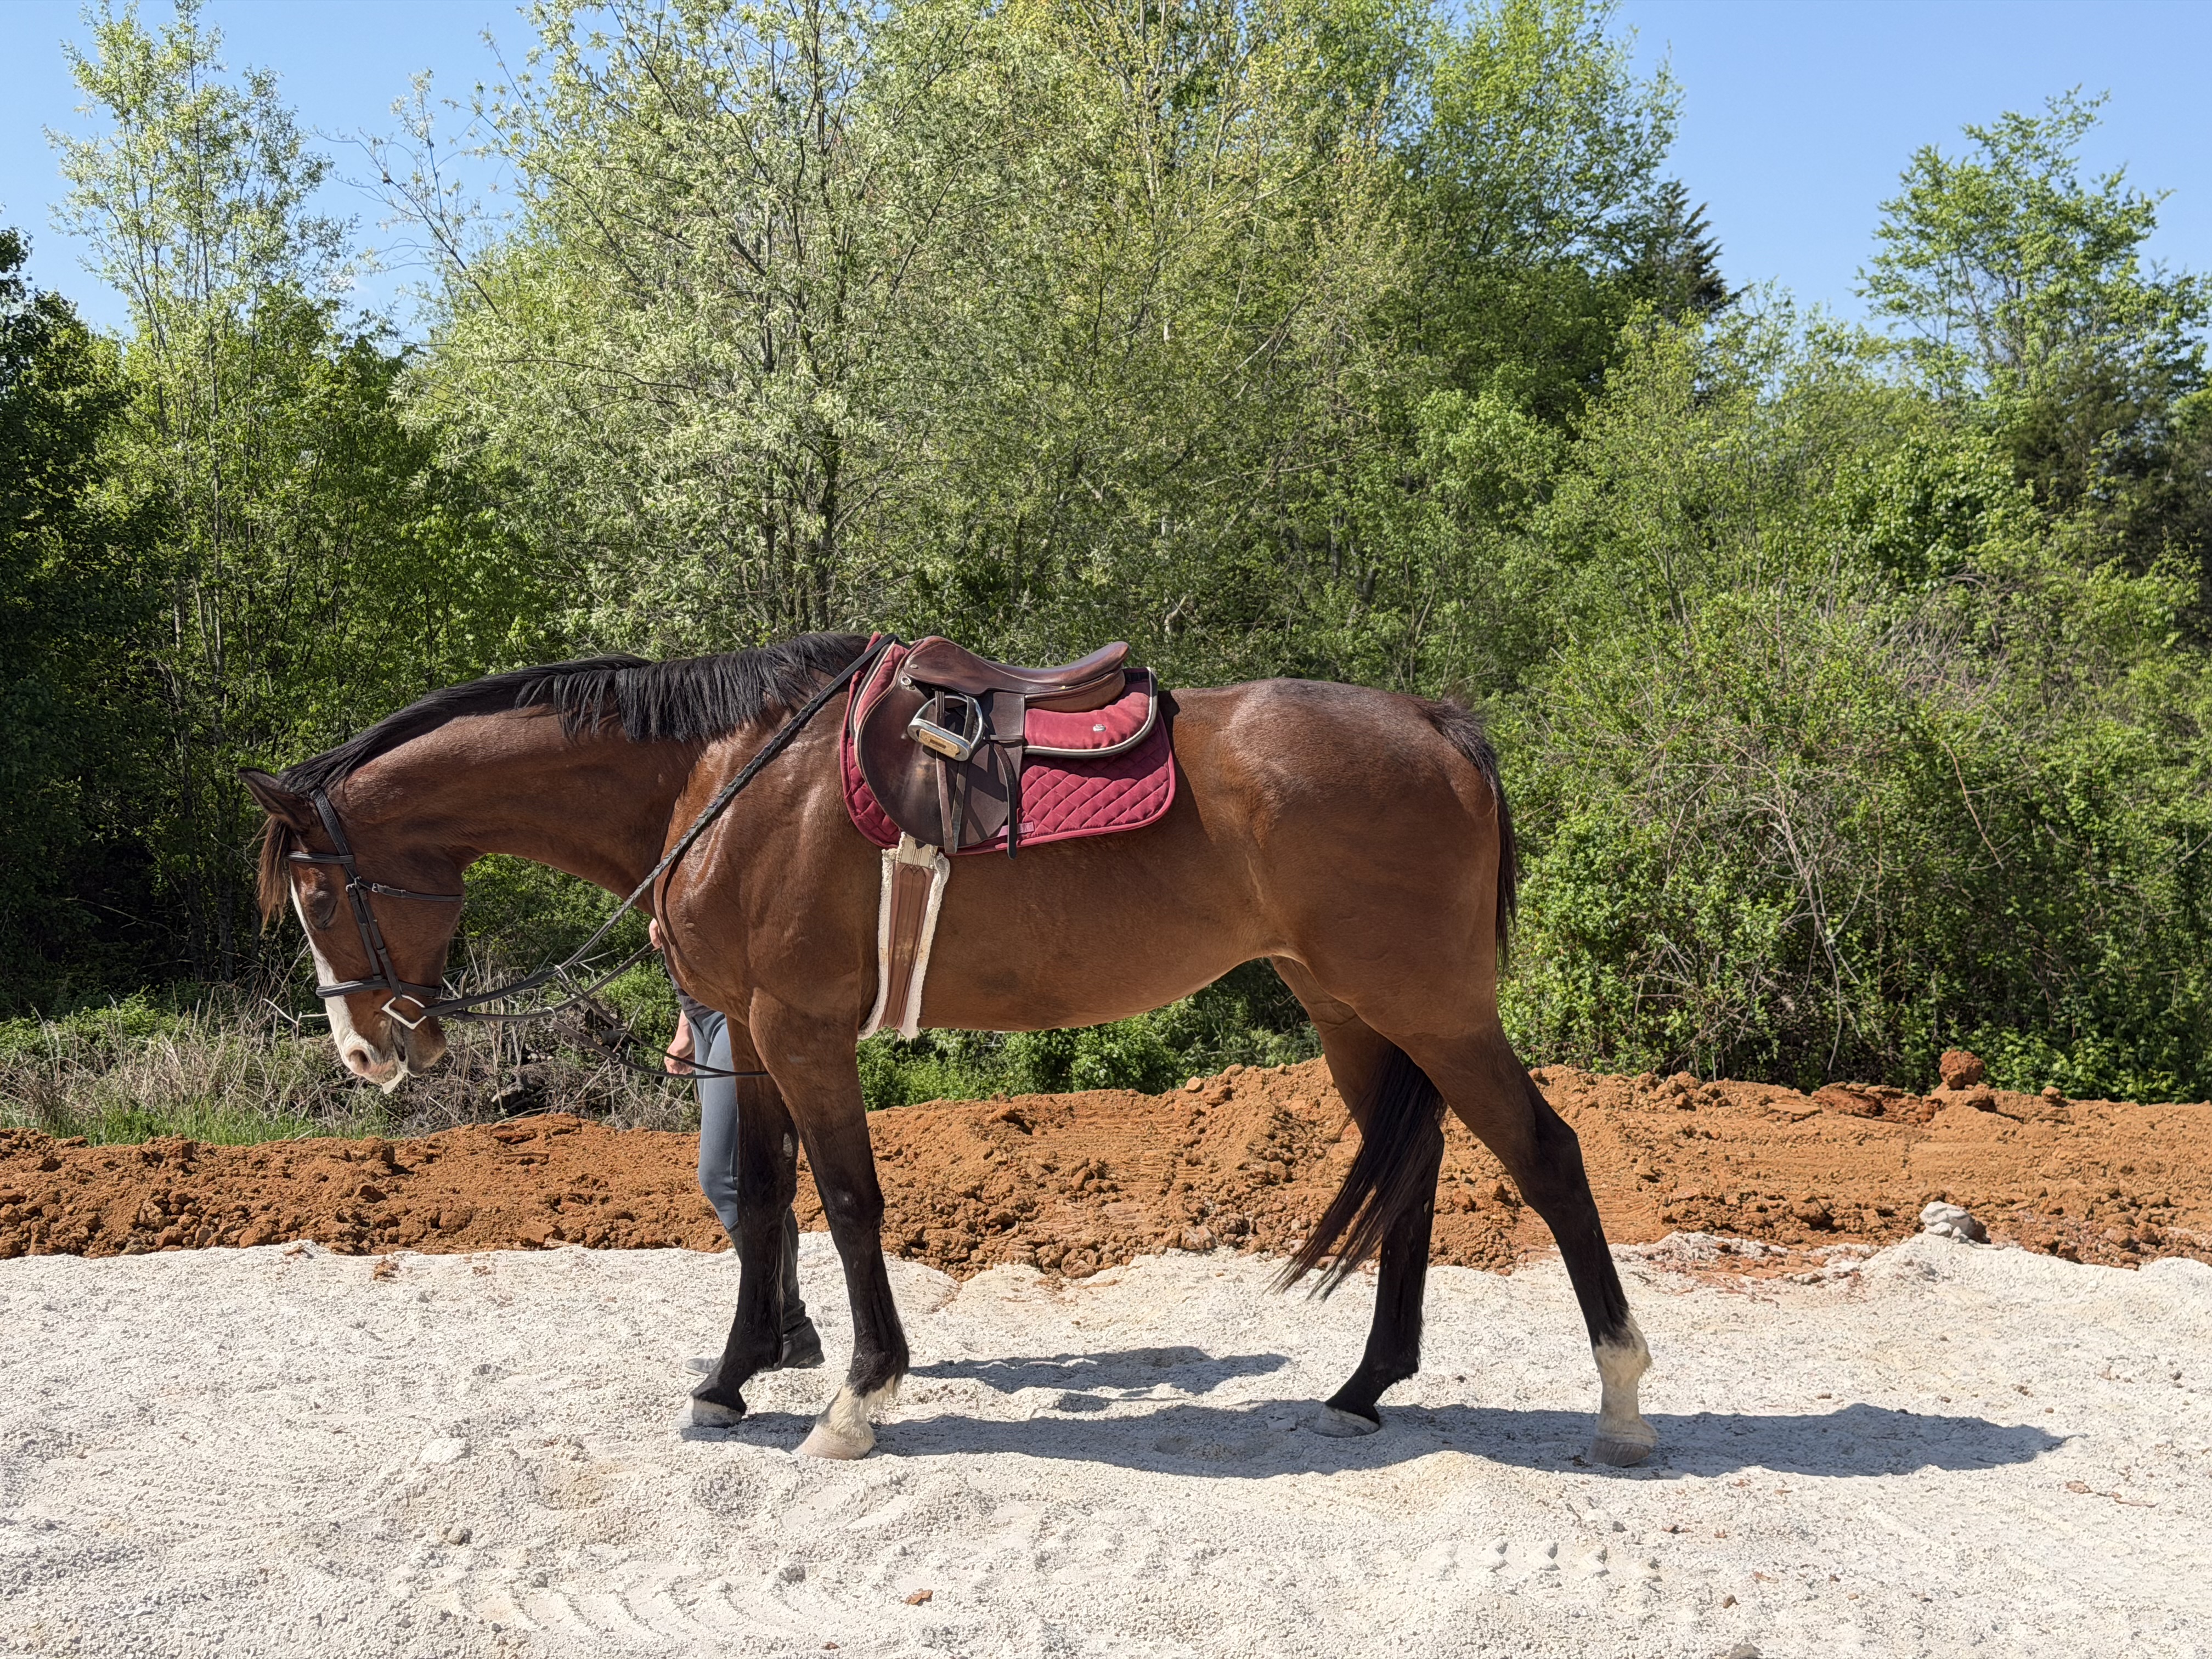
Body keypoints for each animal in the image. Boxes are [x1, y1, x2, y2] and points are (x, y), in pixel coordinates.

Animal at [241, 632, 1656, 1465]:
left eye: (314, 893)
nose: (365, 1055)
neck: (722, 778)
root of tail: (1433, 723)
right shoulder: (753, 1037)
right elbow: (765, 1206)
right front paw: (733, 1377)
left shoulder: (801, 1029)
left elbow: (851, 1201)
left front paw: (859, 1397)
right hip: (1350, 1008)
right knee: (1414, 1171)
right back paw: (1367, 1385)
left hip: (1429, 1006)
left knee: (1548, 1155)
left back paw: (1622, 1399)